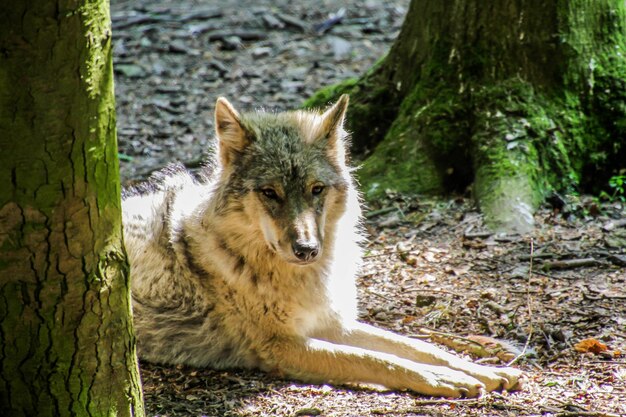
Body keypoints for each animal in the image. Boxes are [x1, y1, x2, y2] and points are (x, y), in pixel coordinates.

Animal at [122, 95, 520, 396]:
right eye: (270, 193)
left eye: (316, 189)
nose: (307, 249)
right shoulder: (282, 346)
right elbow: (378, 360)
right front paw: (447, 379)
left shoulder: (332, 323)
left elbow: (417, 346)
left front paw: (479, 370)